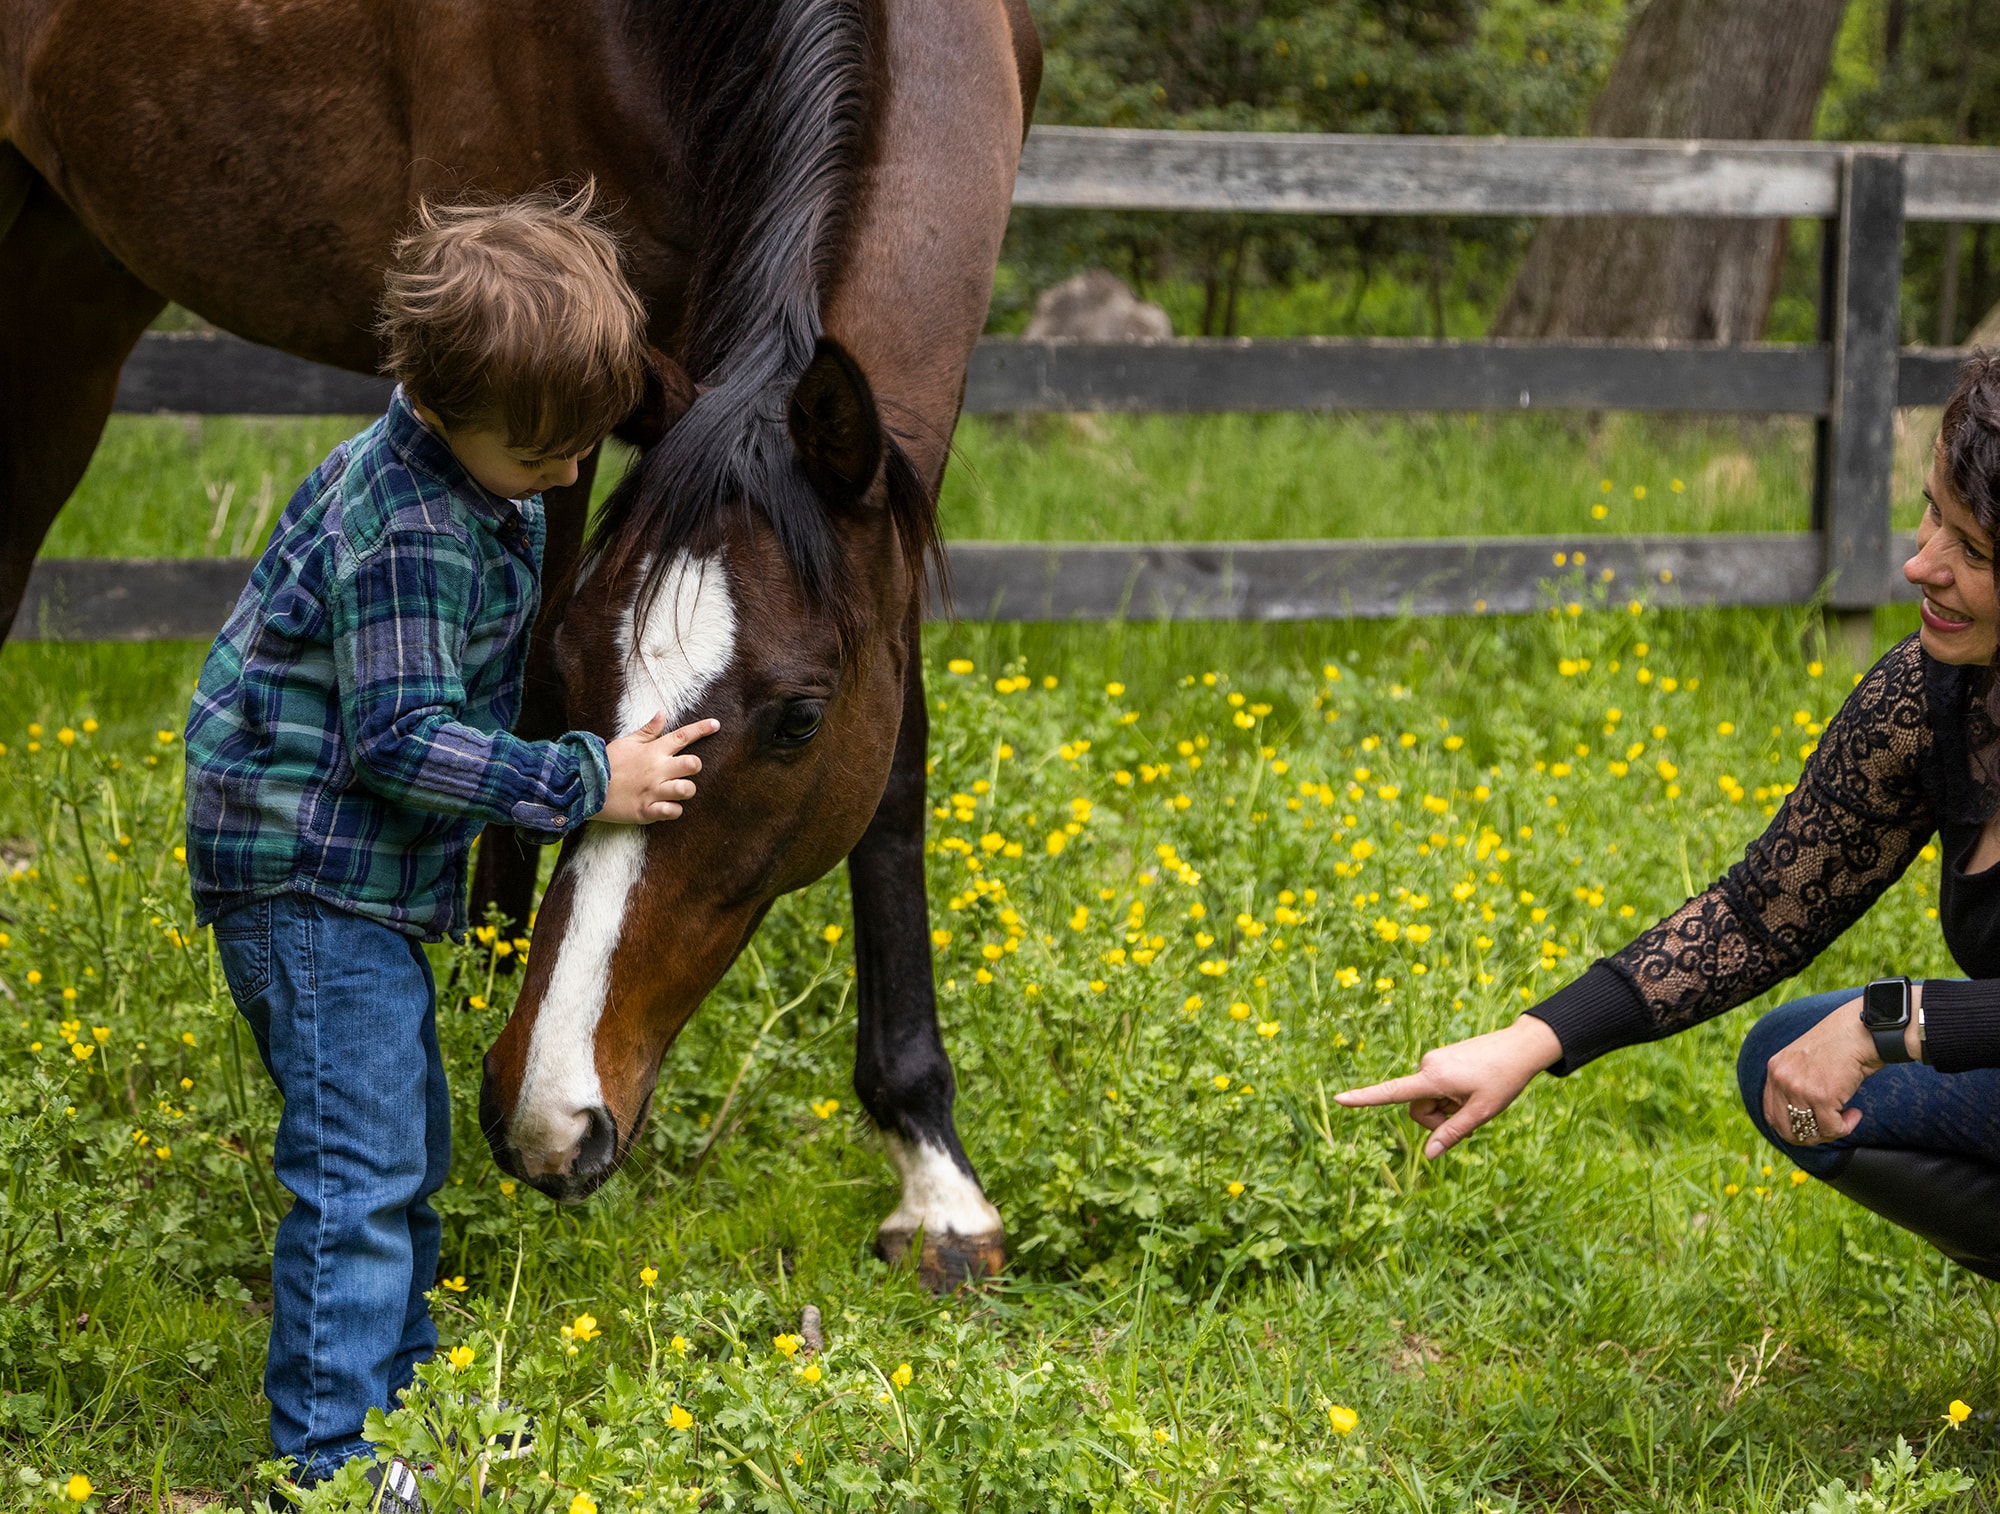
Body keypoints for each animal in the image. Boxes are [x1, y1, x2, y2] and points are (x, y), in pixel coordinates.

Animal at [1, 0, 1038, 1289]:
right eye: (588, 669)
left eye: (800, 718)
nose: (551, 1111)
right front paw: (476, 1002)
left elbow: (894, 768)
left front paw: (933, 1175)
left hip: (73, 280)